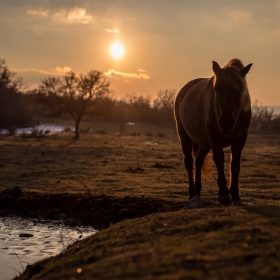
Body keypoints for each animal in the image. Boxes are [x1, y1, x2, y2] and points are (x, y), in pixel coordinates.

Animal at [175, 59, 252, 207]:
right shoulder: (214, 136)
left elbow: (235, 163)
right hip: (184, 136)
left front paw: (235, 196)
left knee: (198, 161)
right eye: (217, 89)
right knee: (189, 161)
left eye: (239, 91)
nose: (226, 122)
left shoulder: (241, 138)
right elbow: (219, 158)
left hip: (204, 143)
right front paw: (224, 194)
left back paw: (198, 192)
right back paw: (192, 194)